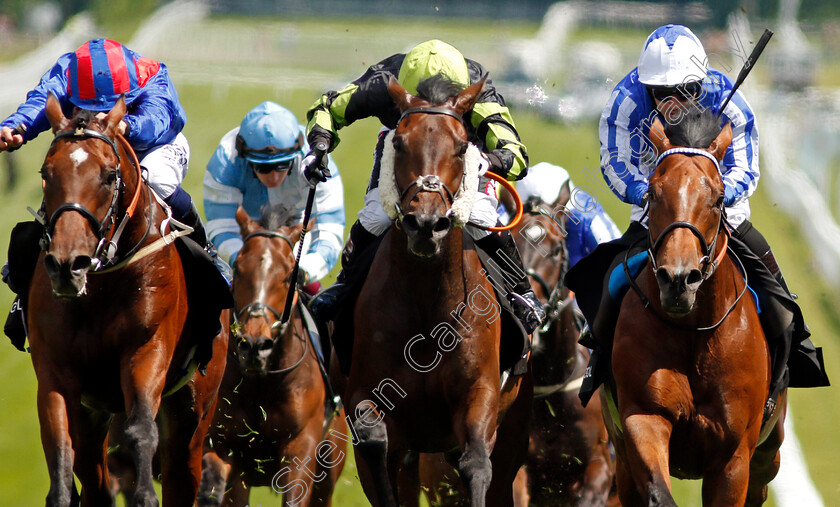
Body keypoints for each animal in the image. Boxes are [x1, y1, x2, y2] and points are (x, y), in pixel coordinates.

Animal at [27, 93, 228, 506]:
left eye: (108, 175)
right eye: (46, 173)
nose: (68, 264)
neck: (101, 287)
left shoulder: (146, 349)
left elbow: (140, 430)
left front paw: (145, 495)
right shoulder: (55, 369)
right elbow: (60, 445)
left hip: (193, 414)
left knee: (182, 474)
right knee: (94, 476)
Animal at [199, 207, 346, 507]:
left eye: (290, 275)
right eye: (239, 268)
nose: (255, 345)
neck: (263, 381)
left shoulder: (302, 447)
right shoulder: (224, 445)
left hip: (329, 466)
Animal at [342, 78, 532, 507]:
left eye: (462, 147)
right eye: (399, 143)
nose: (426, 224)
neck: (427, 303)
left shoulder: (480, 394)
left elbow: (475, 462)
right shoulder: (365, 393)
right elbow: (374, 441)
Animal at [604, 112, 788, 507]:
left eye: (718, 198)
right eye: (651, 193)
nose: (678, 280)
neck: (694, 334)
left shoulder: (734, 457)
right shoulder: (642, 417)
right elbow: (658, 490)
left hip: (769, 455)